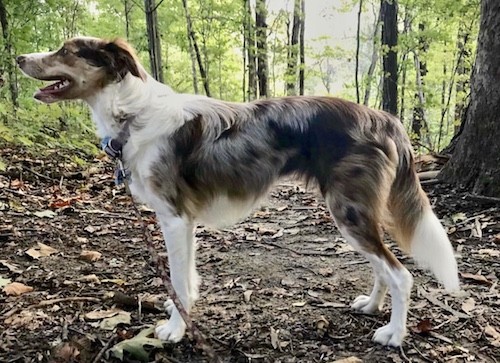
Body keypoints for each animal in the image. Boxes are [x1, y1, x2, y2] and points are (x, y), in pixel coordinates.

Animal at [17, 38, 458, 348]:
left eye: (67, 50)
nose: (20, 58)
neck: (132, 115)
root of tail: (383, 118)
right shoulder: (183, 221)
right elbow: (187, 279)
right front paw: (181, 315)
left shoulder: (173, 217)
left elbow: (177, 279)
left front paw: (175, 330)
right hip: (355, 214)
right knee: (382, 267)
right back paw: (371, 306)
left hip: (348, 212)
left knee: (400, 274)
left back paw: (394, 334)